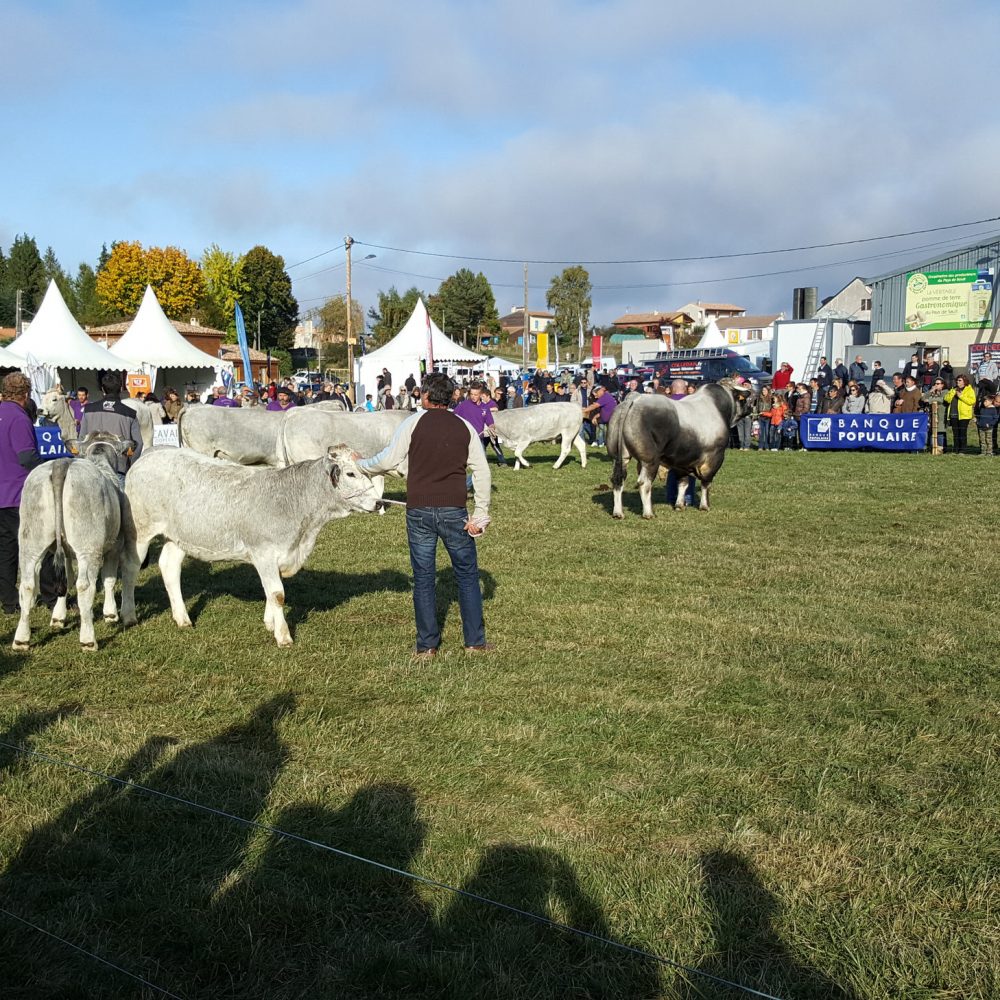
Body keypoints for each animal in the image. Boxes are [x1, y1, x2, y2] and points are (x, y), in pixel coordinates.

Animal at [12, 432, 139, 652]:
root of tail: (62, 463)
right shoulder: (115, 545)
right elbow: (109, 579)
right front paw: (111, 613)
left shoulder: (66, 552)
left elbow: (67, 578)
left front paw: (58, 617)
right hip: (89, 547)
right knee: (85, 586)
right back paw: (88, 639)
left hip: (31, 541)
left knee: (28, 585)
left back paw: (21, 639)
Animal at [121, 448, 378, 648]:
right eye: (350, 473)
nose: (378, 503)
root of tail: (146, 458)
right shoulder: (263, 552)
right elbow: (277, 594)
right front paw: (283, 636)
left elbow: (271, 591)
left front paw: (270, 623)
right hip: (140, 530)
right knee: (130, 568)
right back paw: (128, 615)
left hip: (179, 536)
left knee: (169, 567)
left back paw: (182, 618)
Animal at [604, 380, 752, 520]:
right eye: (745, 399)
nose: (751, 406)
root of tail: (635, 398)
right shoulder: (714, 458)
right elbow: (706, 483)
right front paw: (705, 506)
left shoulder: (682, 461)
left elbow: (683, 483)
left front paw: (679, 505)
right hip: (650, 460)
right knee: (644, 483)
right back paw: (648, 513)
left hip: (619, 457)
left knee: (617, 480)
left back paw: (618, 513)